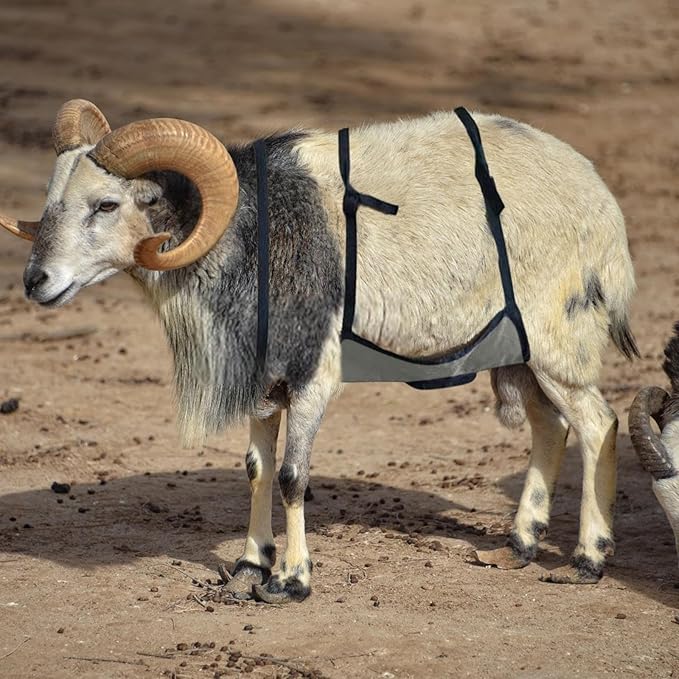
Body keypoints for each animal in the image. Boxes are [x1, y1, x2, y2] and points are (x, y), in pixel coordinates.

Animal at [0, 99, 639, 603]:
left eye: (107, 205)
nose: (36, 281)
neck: (251, 238)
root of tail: (602, 204)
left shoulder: (312, 377)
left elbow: (292, 476)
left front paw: (290, 581)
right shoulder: (264, 383)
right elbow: (257, 469)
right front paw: (248, 567)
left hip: (557, 345)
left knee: (597, 425)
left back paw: (586, 561)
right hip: (520, 353)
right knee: (550, 427)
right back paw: (519, 545)